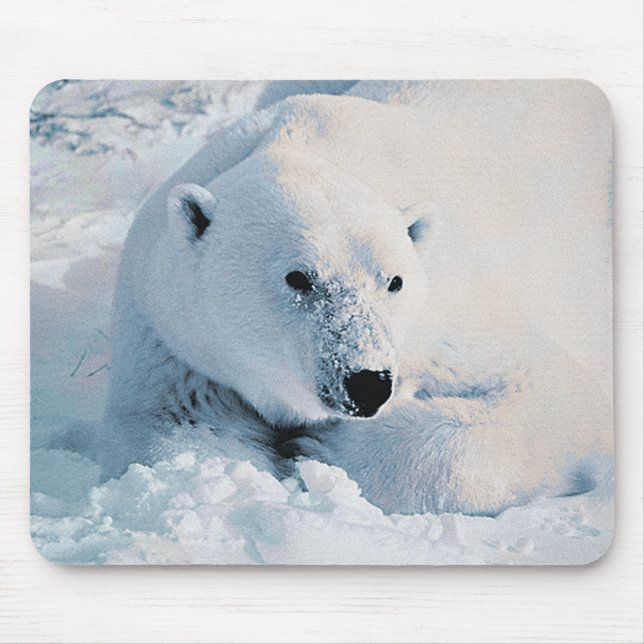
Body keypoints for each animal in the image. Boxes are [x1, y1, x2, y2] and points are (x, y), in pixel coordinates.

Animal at [92, 86, 612, 516]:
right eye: (299, 278)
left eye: (394, 281)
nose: (368, 382)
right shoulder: (174, 341)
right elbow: (182, 428)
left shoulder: (446, 321)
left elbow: (550, 394)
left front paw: (316, 451)